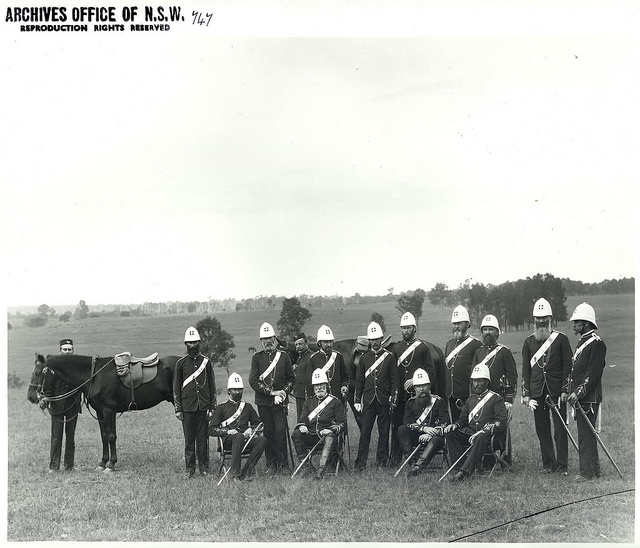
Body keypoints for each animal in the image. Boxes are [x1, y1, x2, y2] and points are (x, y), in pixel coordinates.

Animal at [26, 356, 179, 470]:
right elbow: (104, 436)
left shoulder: (108, 410)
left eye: (38, 372)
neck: (95, 375)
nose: (31, 396)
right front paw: (103, 463)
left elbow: (111, 436)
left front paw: (111, 464)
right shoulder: (100, 412)